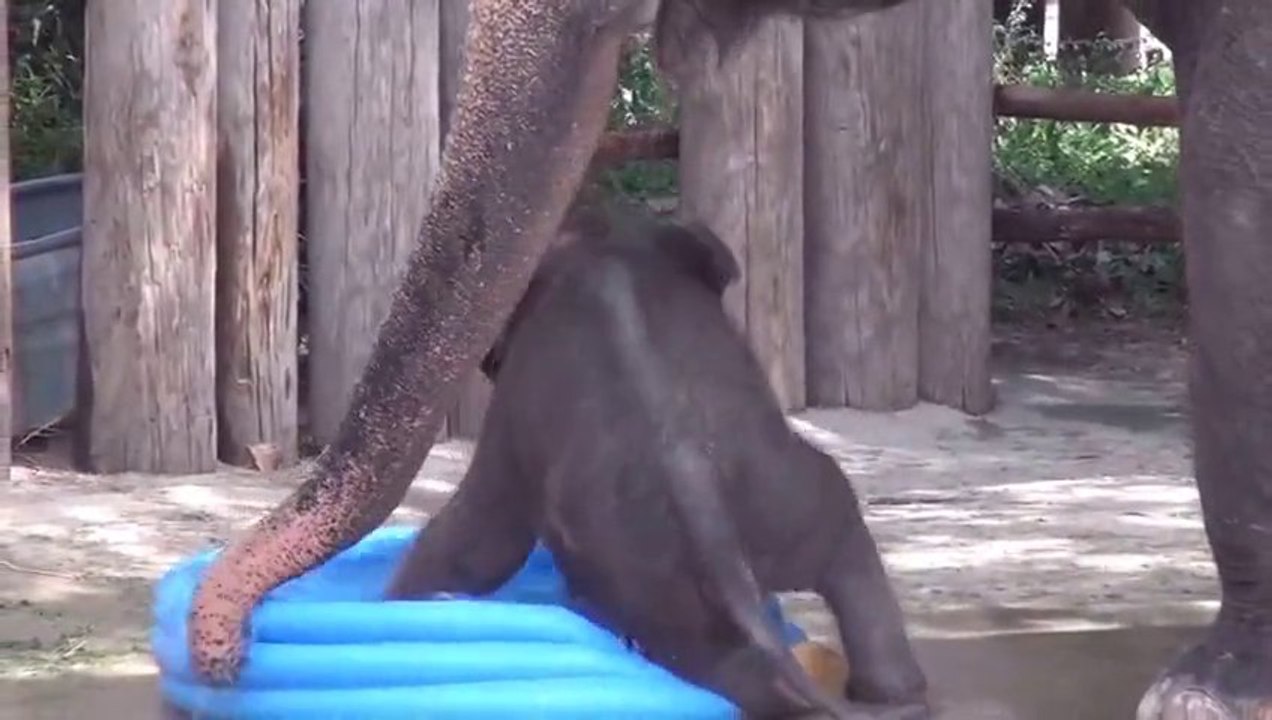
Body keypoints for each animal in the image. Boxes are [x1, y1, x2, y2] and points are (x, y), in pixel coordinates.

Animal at [187, 0, 1272, 718]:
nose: (224, 655)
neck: (604, 252)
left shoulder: (516, 424)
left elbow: (480, 532)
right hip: (791, 511)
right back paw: (894, 691)